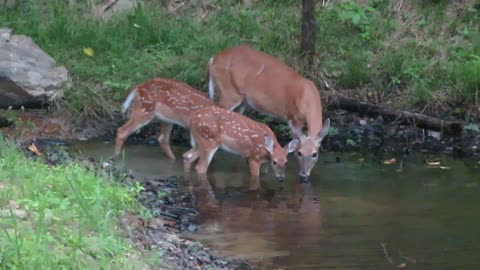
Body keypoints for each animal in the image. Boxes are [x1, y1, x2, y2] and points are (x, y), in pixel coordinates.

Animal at [208, 45, 328, 182]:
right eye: (300, 153)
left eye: (315, 154)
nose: (304, 176)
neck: (308, 96)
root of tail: (213, 59)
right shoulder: (294, 117)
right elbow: (294, 145)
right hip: (229, 93)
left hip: (243, 101)